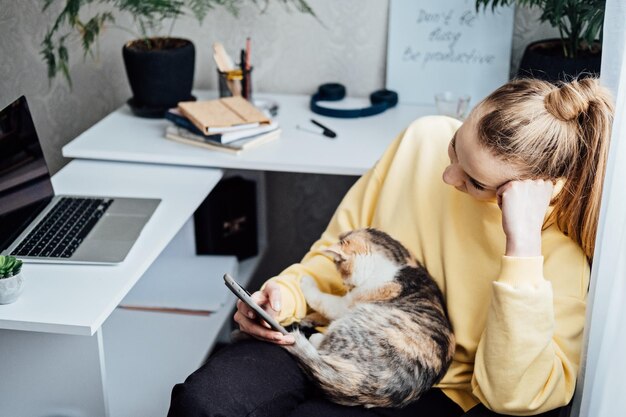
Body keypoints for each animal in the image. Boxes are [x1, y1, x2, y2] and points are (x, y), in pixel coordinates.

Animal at [282, 228, 454, 406]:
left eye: (343, 270)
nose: (346, 286)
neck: (397, 264)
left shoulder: (347, 304)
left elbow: (323, 300)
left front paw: (306, 281)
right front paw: (310, 318)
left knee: (323, 344)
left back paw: (315, 337)